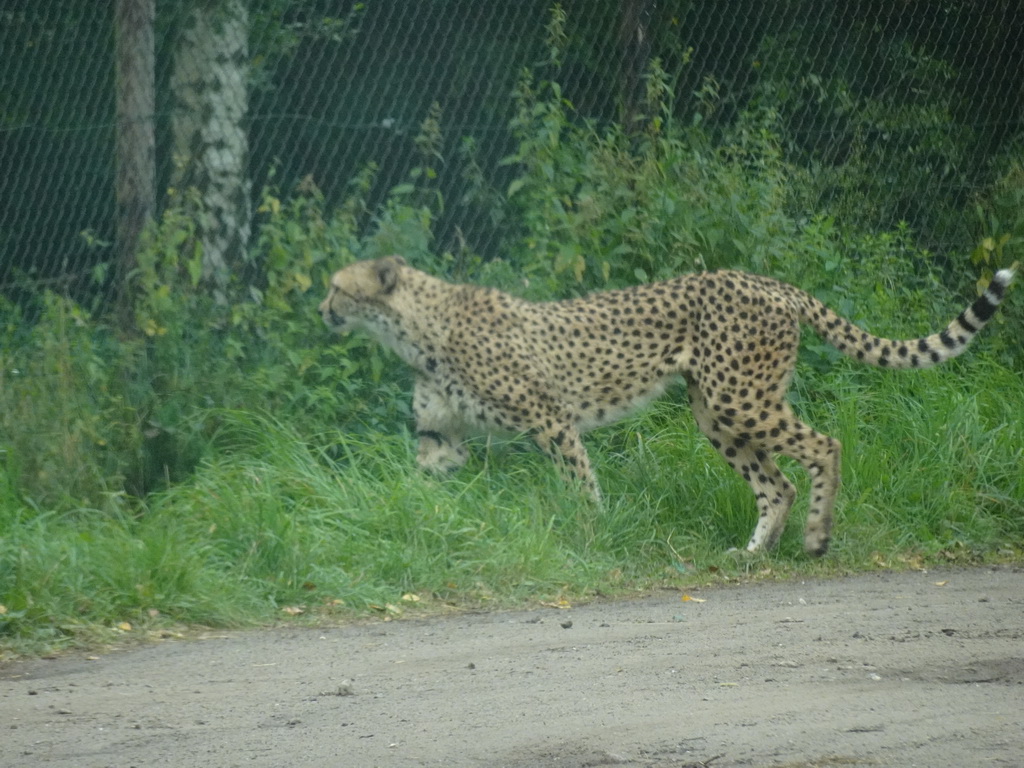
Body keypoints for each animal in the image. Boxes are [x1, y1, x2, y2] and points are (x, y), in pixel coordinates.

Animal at [321, 256, 1015, 557]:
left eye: (336, 287)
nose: (322, 309)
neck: (416, 330)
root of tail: (768, 280)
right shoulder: (440, 439)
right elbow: (421, 483)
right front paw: (405, 523)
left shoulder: (550, 419)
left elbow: (580, 484)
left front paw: (592, 534)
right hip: (715, 411)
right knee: (777, 483)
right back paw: (755, 551)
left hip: (739, 396)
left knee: (825, 446)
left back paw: (817, 538)